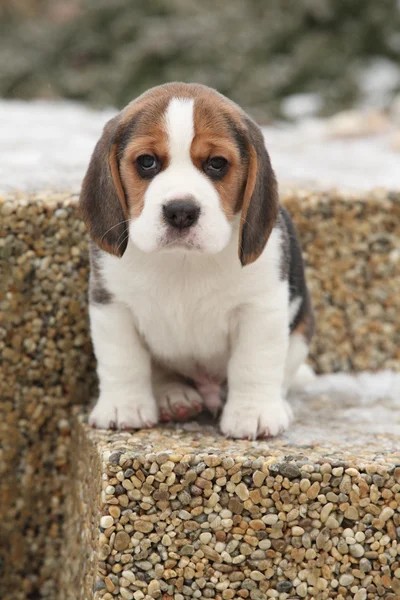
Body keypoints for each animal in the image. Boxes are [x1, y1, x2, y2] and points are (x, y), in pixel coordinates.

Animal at [79, 83, 314, 440]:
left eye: (216, 163)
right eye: (146, 162)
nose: (180, 211)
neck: (183, 261)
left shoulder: (261, 308)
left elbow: (254, 362)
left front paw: (253, 413)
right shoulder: (112, 304)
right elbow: (123, 359)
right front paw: (124, 407)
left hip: (301, 330)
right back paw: (174, 397)